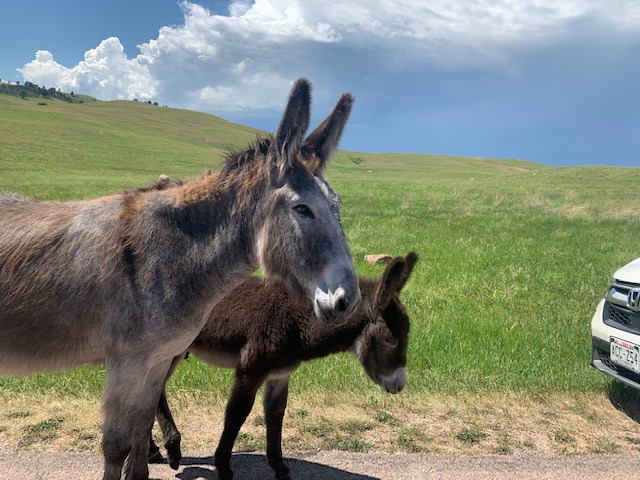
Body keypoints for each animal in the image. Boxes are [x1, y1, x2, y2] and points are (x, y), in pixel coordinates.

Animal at [152, 253, 418, 478]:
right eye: (390, 340)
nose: (400, 385)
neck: (298, 322)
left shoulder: (280, 375)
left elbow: (275, 414)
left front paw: (279, 467)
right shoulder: (250, 369)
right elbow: (237, 413)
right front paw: (224, 466)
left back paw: (156, 452)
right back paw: (171, 449)